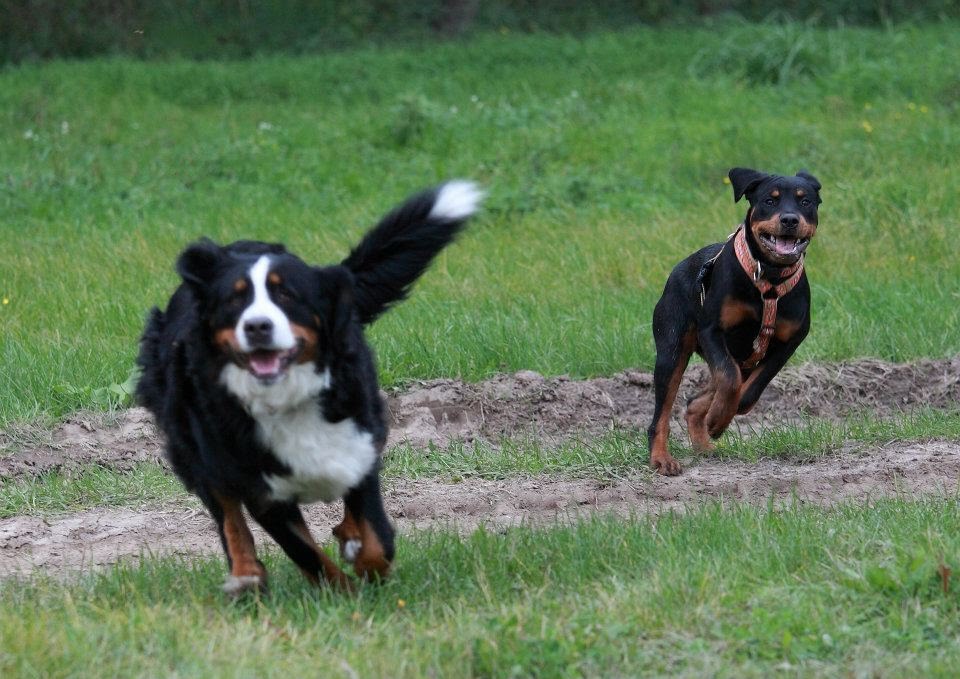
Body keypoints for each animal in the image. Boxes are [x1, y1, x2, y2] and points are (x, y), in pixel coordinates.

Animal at [644, 168, 816, 476]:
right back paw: (662, 458)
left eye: (805, 201)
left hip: (744, 356)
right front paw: (717, 418)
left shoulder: (787, 344)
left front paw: (716, 421)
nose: (789, 219)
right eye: (769, 201)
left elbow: (749, 393)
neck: (770, 280)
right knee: (661, 414)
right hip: (672, 349)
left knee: (696, 400)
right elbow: (729, 377)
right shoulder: (712, 330)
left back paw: (704, 441)